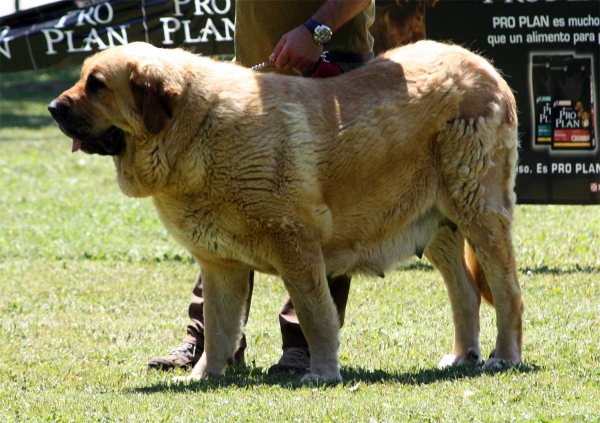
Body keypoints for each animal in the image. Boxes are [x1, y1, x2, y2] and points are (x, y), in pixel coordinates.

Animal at [49, 40, 524, 384]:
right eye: (83, 78)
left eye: (97, 85)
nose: (53, 109)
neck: (196, 129)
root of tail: (489, 70)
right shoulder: (219, 263)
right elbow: (217, 327)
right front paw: (203, 375)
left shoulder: (296, 246)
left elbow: (316, 316)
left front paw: (323, 373)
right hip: (436, 223)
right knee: (464, 293)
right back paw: (463, 356)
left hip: (479, 212)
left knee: (507, 292)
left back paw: (504, 357)